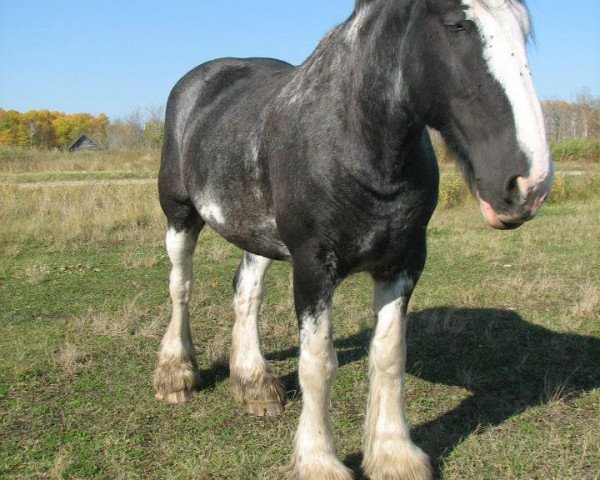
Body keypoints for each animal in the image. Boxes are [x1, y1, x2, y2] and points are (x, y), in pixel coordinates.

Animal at [154, 0, 552, 480]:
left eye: (524, 32)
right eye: (457, 24)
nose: (527, 185)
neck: (355, 146)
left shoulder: (404, 262)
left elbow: (389, 354)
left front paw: (394, 454)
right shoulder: (312, 267)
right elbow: (317, 364)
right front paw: (318, 460)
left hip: (255, 232)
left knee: (246, 291)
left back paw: (255, 385)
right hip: (180, 216)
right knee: (181, 286)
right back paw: (176, 375)